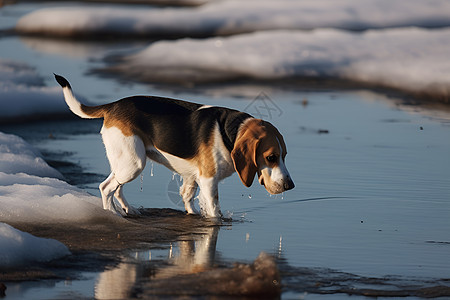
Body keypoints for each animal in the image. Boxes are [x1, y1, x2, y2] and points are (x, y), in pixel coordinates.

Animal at [54, 74, 294, 217]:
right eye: (271, 157)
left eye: (285, 155)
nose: (290, 186)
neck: (230, 132)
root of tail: (113, 105)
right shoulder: (208, 180)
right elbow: (214, 209)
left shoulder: (191, 177)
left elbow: (187, 198)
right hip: (134, 163)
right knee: (106, 188)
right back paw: (111, 214)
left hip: (126, 163)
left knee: (116, 187)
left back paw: (127, 209)